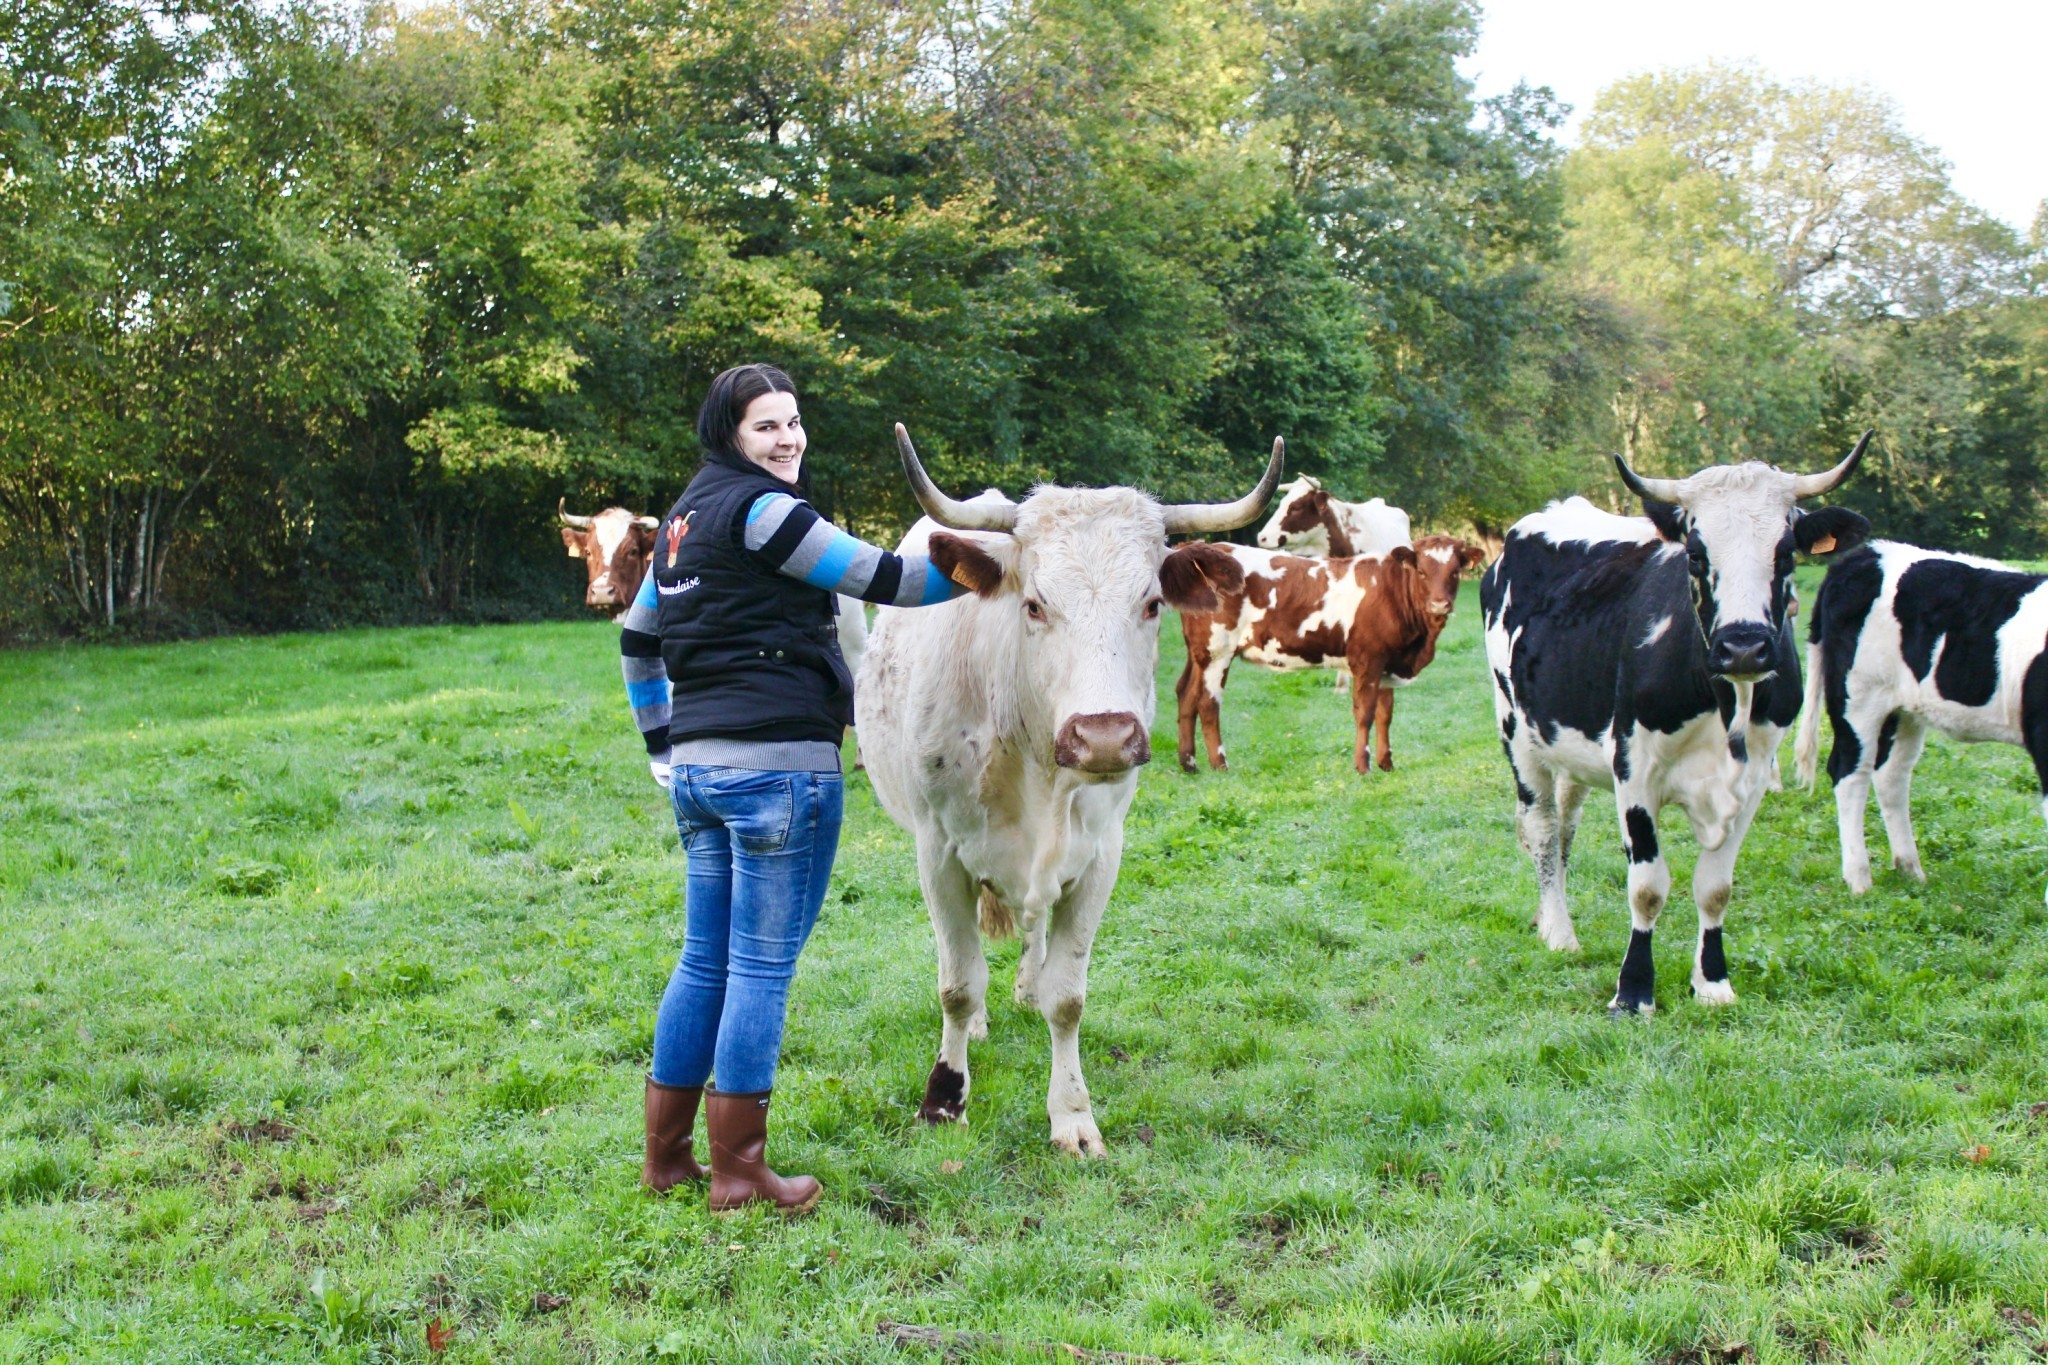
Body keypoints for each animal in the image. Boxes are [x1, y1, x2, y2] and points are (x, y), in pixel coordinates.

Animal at [860, 423, 1277, 1154]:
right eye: (1035, 604)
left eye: (1152, 602)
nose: (1104, 736)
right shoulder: (938, 854)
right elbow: (957, 983)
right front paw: (944, 1098)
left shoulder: (1099, 855)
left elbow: (1068, 994)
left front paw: (1073, 1117)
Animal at [1171, 532, 1490, 773]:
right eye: (1422, 572)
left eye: (1455, 572)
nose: (1440, 604)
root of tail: (1201, 548)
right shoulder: (1368, 659)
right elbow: (1365, 713)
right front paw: (1363, 765)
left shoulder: (1388, 661)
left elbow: (1386, 714)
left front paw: (1386, 763)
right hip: (1218, 651)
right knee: (1208, 703)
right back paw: (1219, 764)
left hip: (1199, 653)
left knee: (1185, 693)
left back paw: (1189, 764)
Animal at [1474, 437, 1875, 1015]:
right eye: (1696, 554)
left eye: (1784, 552)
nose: (1743, 645)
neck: (1727, 704)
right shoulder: (1634, 769)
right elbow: (1647, 886)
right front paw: (1634, 990)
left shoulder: (1753, 780)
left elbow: (1715, 886)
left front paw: (1712, 982)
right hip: (1518, 733)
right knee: (1543, 829)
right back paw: (1559, 932)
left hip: (1571, 743)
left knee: (1567, 823)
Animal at [1794, 540, 2048, 900]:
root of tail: (1866, 553)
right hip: (1857, 696)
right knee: (1849, 772)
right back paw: (1859, 878)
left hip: (1904, 709)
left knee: (1891, 775)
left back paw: (1910, 870)